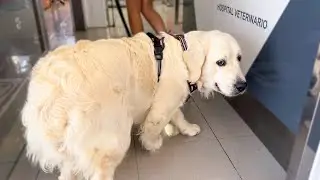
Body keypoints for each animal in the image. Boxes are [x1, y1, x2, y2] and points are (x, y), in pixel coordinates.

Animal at [21, 30, 248, 179]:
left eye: (239, 58)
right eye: (221, 62)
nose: (242, 85)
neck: (183, 56)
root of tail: (51, 86)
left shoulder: (168, 98)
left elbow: (178, 115)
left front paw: (187, 128)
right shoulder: (162, 105)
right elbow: (155, 125)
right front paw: (152, 143)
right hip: (114, 137)